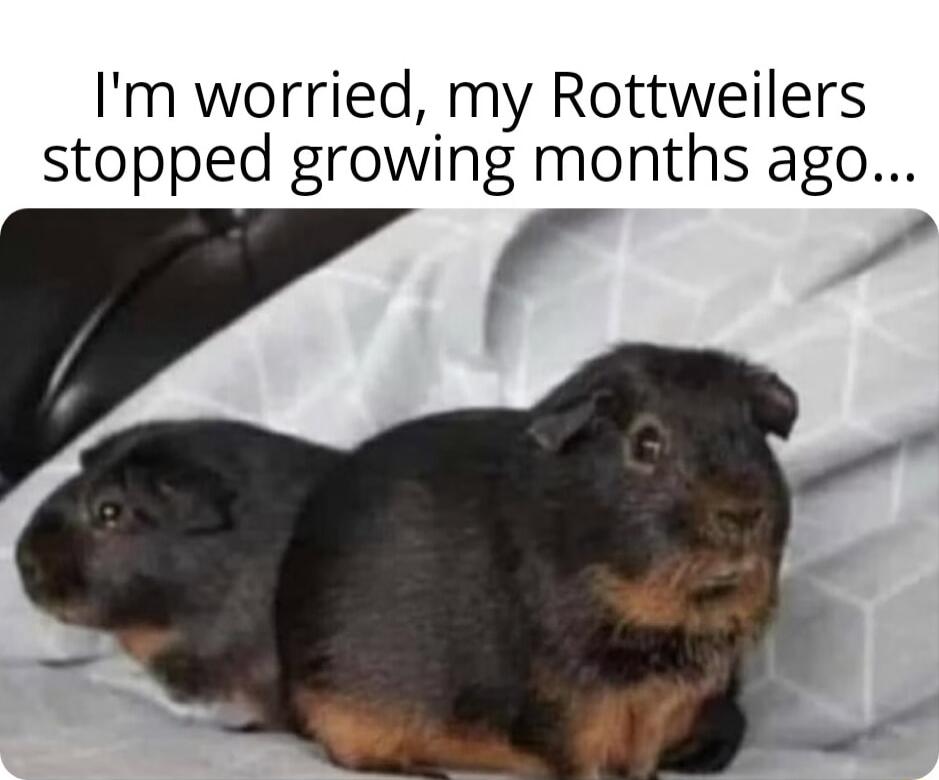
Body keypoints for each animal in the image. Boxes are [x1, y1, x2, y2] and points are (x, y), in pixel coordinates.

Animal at [276, 344, 797, 778]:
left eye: (752, 430)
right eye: (646, 442)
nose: (743, 513)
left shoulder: (662, 709)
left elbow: (642, 765)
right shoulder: (572, 715)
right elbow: (581, 763)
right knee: (346, 753)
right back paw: (424, 772)